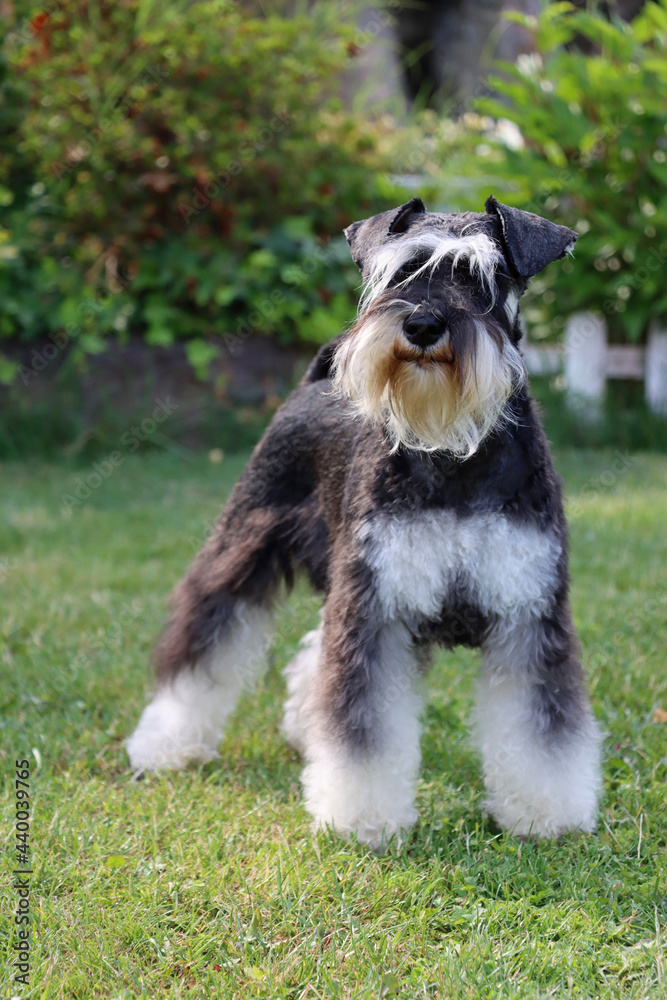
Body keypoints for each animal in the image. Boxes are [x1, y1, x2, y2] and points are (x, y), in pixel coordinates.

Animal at [128, 197, 604, 852]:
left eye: (481, 278)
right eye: (400, 272)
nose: (423, 326)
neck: (453, 453)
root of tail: (312, 384)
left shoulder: (528, 613)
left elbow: (542, 729)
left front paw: (545, 812)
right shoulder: (374, 607)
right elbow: (363, 725)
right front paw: (361, 818)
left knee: (311, 651)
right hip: (244, 547)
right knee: (204, 639)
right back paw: (165, 745)